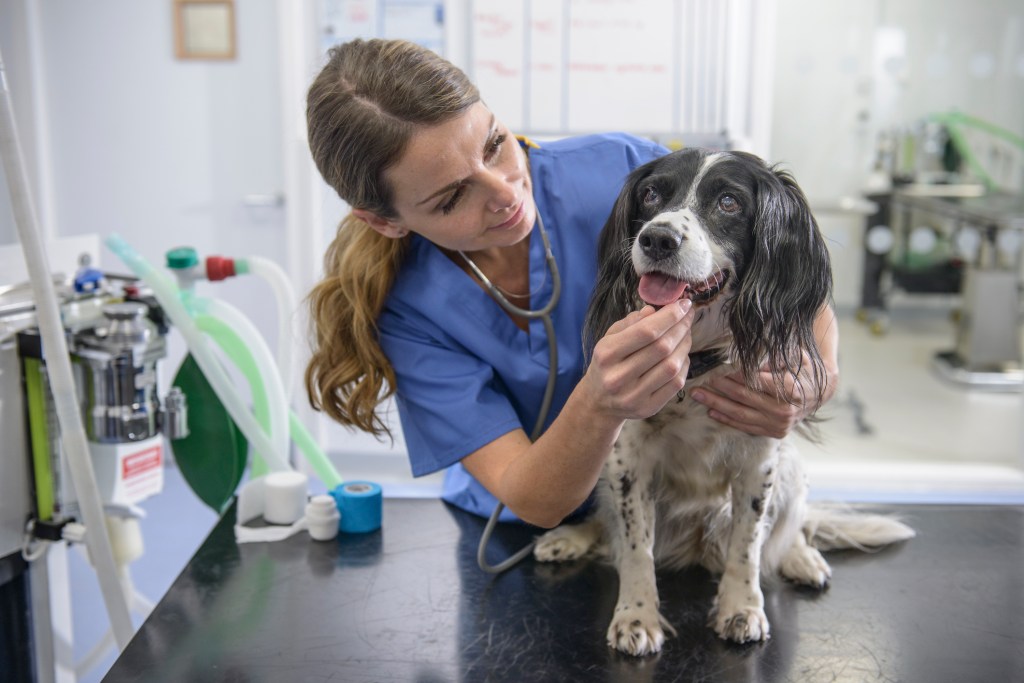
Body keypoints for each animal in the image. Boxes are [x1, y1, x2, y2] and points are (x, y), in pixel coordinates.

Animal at [536, 149, 913, 655]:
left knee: (794, 527)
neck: (698, 360)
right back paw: (571, 537)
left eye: (729, 202)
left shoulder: (759, 461)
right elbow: (635, 549)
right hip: (605, 470)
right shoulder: (628, 460)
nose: (657, 238)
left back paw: (802, 558)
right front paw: (636, 615)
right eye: (651, 194)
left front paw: (741, 608)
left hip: (791, 468)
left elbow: (747, 547)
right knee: (607, 526)